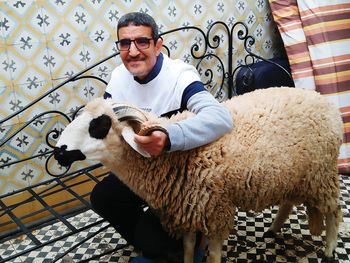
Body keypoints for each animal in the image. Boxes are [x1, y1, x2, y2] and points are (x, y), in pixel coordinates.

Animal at [53, 87, 344, 262]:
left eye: (99, 125)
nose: (59, 151)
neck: (172, 159)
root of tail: (325, 101)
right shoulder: (188, 209)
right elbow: (188, 248)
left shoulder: (215, 211)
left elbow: (212, 255)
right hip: (294, 174)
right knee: (289, 201)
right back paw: (273, 228)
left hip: (322, 174)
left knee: (334, 210)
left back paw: (330, 249)